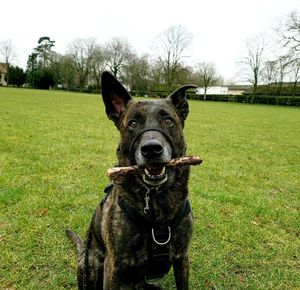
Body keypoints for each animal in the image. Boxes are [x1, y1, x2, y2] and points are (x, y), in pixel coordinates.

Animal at [66, 71, 196, 290]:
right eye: (133, 124)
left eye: (168, 121)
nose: (151, 149)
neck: (155, 199)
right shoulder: (113, 264)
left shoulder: (181, 258)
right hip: (93, 264)